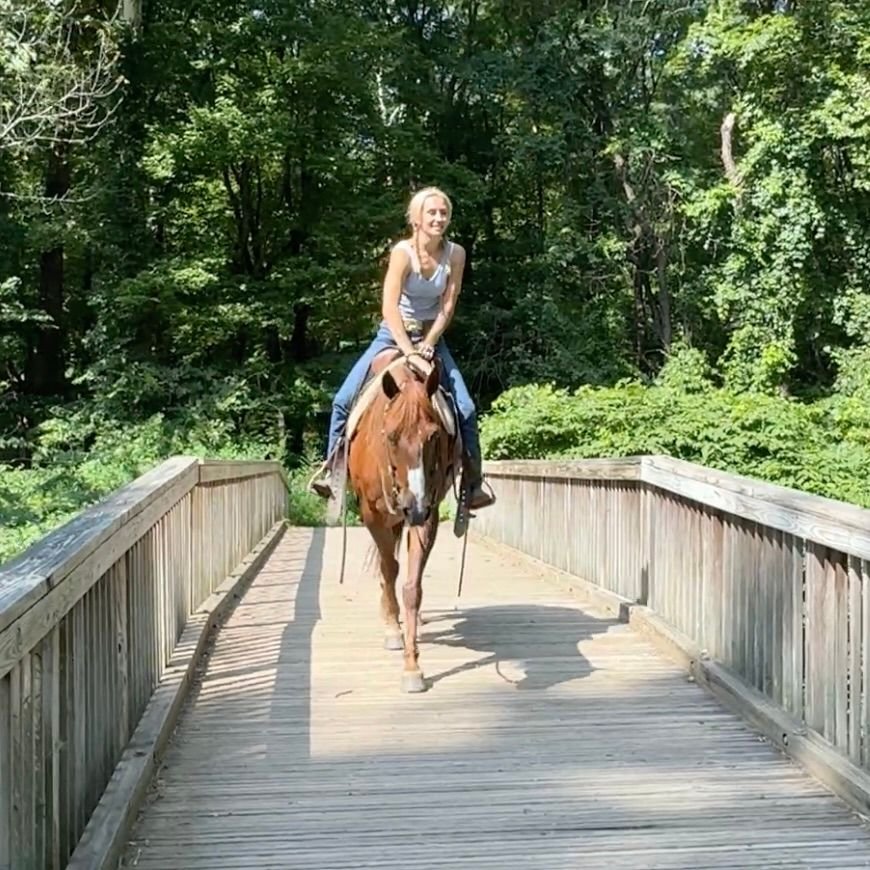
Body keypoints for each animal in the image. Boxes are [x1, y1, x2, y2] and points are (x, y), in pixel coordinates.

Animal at [346, 351, 456, 693]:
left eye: (433, 436)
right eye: (392, 436)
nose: (414, 505)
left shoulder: (428, 516)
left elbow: (412, 587)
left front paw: (412, 665)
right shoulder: (373, 515)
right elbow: (389, 570)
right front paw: (394, 630)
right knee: (388, 567)